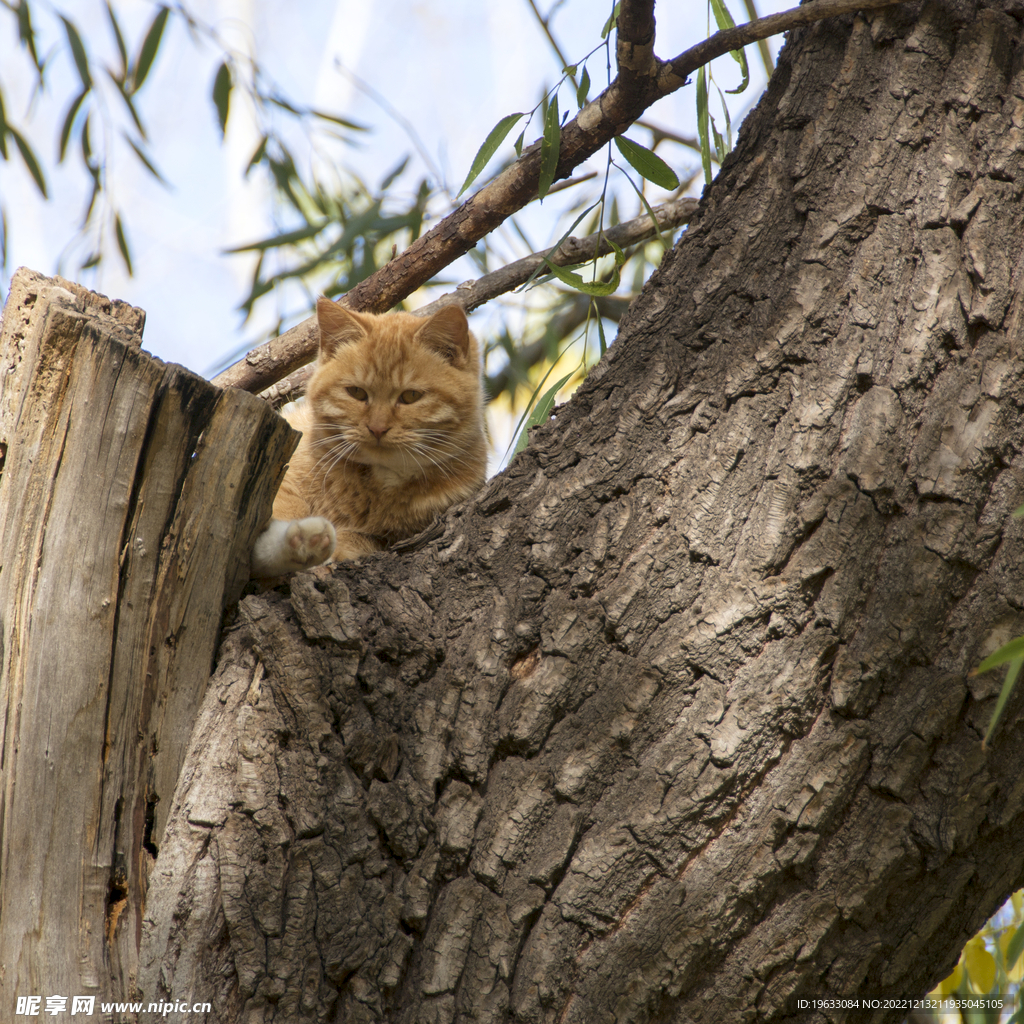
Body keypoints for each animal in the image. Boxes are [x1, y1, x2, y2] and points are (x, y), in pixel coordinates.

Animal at [249, 299, 485, 581]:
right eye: (357, 392)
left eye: (410, 396)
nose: (377, 428)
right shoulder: (282, 478)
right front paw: (301, 542)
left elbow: (361, 540)